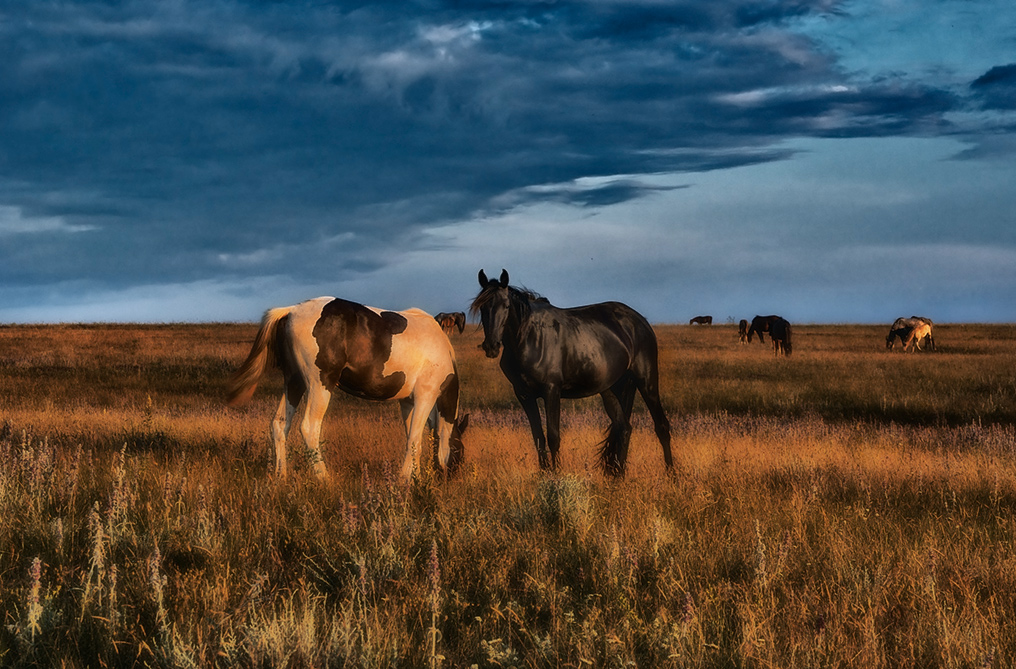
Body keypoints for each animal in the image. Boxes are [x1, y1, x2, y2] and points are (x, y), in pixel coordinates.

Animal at [227, 296, 467, 479]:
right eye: (460, 451)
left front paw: (414, 478)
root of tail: (293, 310)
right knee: (309, 428)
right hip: (319, 385)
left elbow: (412, 438)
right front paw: (406, 480)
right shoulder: (425, 396)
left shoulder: (407, 402)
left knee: (279, 425)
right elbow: (416, 439)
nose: (452, 478)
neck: (442, 351)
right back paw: (324, 479)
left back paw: (280, 476)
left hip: (294, 383)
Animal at [469, 266, 674, 473]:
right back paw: (619, 475)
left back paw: (671, 474)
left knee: (661, 426)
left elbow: (553, 436)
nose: (491, 346)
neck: (529, 338)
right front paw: (544, 474)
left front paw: (556, 474)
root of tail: (640, 321)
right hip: (611, 389)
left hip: (646, 381)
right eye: (482, 307)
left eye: (506, 306)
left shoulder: (551, 390)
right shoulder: (524, 395)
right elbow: (538, 438)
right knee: (623, 429)